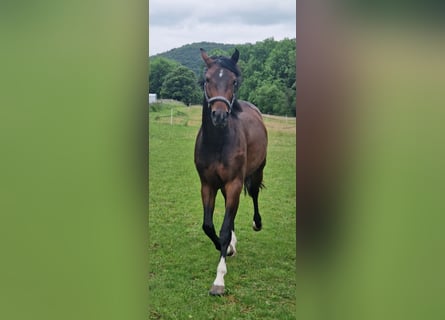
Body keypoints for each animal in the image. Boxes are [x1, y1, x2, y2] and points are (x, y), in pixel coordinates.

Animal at [194, 48, 268, 296]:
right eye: (207, 80)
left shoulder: (234, 183)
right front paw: (226, 248)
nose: (219, 116)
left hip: (256, 171)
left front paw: (219, 279)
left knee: (254, 194)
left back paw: (257, 223)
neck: (217, 143)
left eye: (233, 81)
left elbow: (225, 228)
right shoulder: (207, 185)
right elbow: (209, 226)